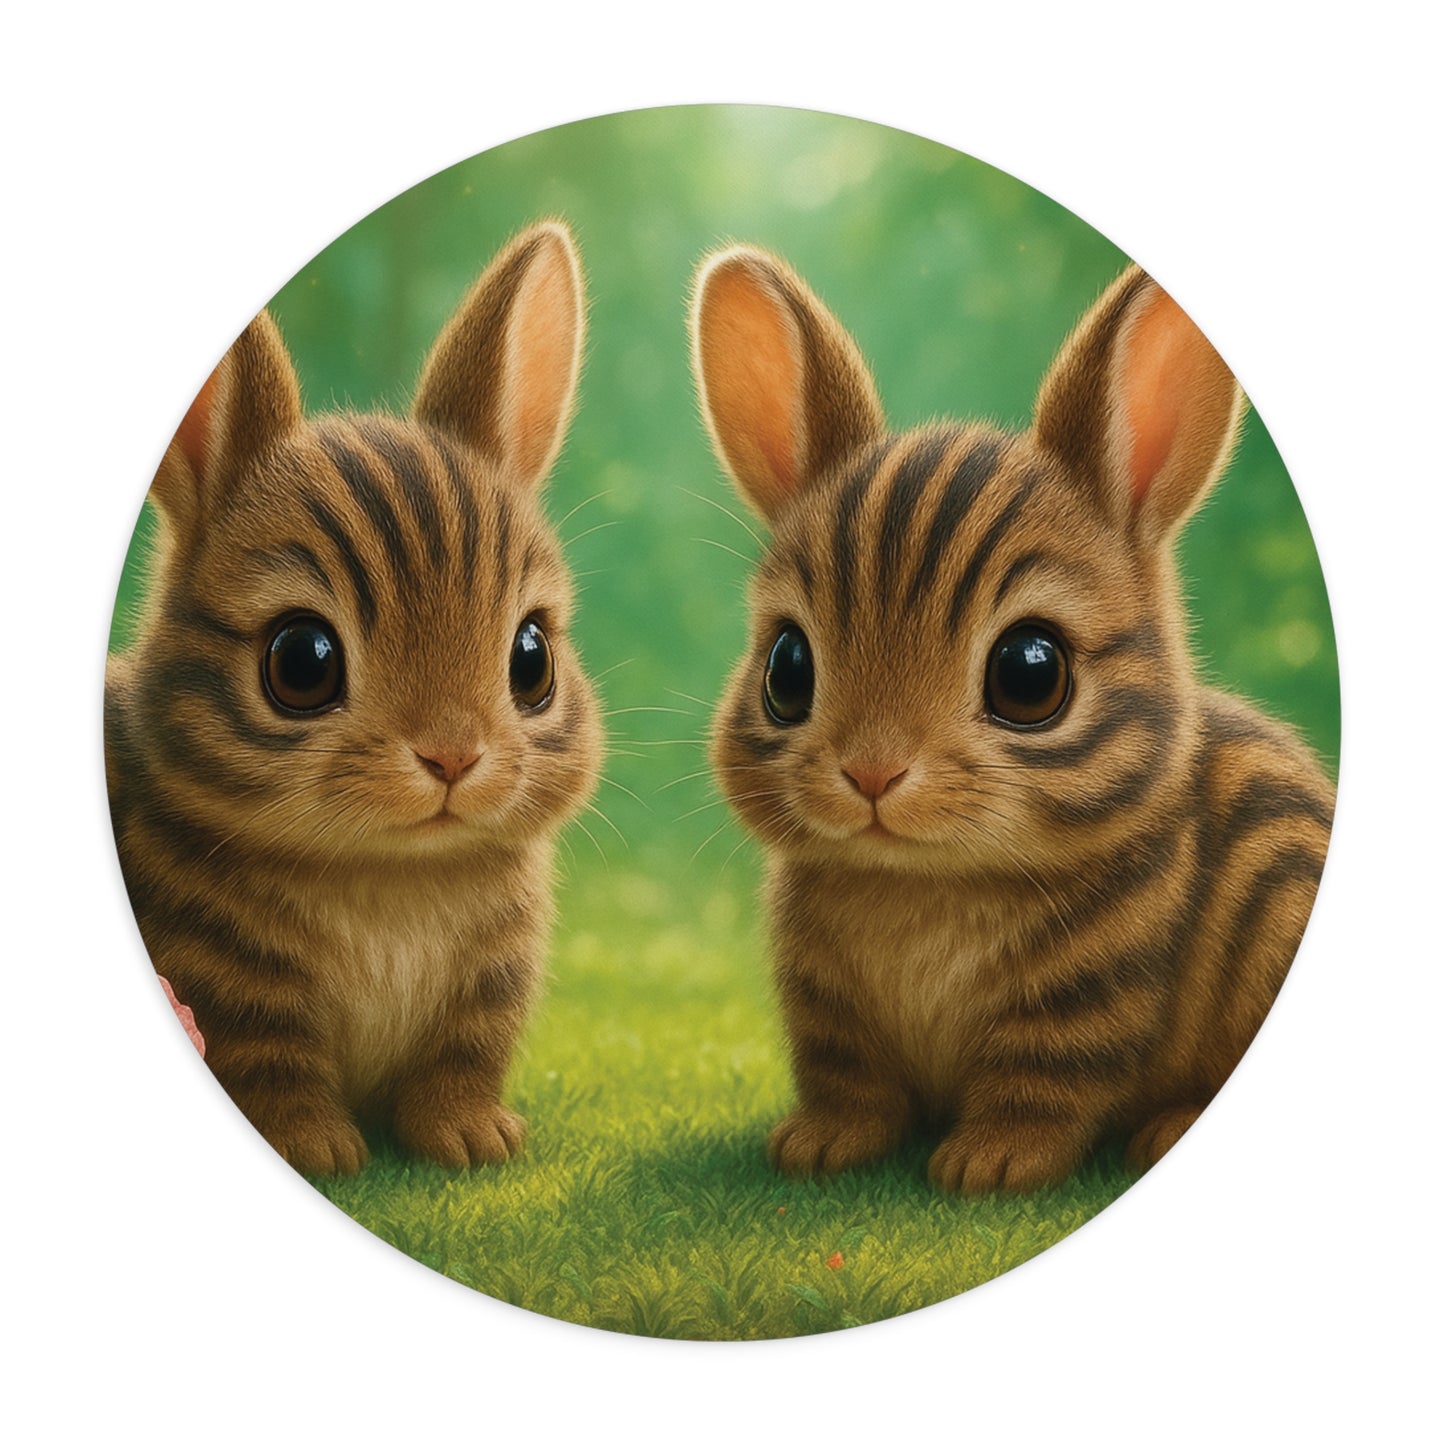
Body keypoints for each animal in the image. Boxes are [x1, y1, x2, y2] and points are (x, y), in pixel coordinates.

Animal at [106, 220, 603, 1175]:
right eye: (302, 663)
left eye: (531, 659)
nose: (452, 755)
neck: (388, 870)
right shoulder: (236, 992)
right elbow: (276, 1069)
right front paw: (316, 1150)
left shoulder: (484, 994)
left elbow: (458, 1065)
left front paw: (473, 1138)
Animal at [688, 245, 1334, 1193]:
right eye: (786, 668)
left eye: (1030, 673)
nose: (871, 771)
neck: (924, 884)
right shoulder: (830, 1012)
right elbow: (851, 1084)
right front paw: (817, 1144)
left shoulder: (1081, 1003)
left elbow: (1038, 1086)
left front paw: (987, 1162)